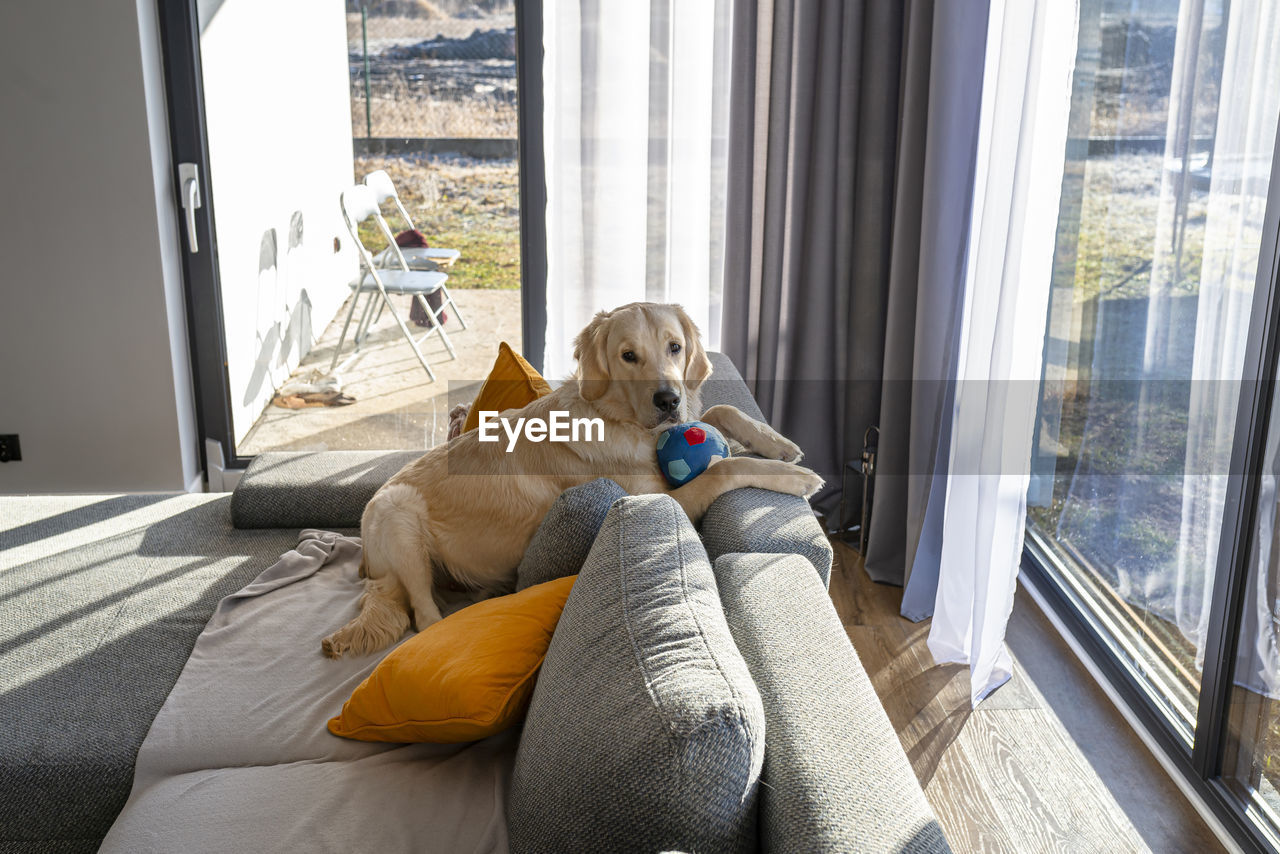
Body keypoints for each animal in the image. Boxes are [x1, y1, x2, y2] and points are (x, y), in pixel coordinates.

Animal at [320, 303, 819, 660]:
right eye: (628, 356)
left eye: (675, 347)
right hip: (396, 513)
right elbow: (723, 467)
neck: (620, 420)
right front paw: (796, 477)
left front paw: (778, 444)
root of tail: (367, 564)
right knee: (423, 618)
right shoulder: (660, 496)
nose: (668, 400)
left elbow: (718, 409)